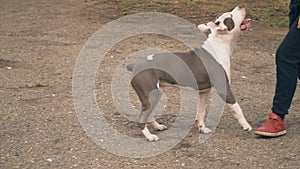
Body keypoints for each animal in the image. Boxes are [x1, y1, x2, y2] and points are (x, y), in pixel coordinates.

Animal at [125, 5, 252, 141]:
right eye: (231, 16)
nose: (240, 6)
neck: (220, 45)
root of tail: (135, 65)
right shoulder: (224, 89)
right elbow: (237, 108)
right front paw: (246, 126)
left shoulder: (204, 92)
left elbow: (201, 112)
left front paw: (202, 128)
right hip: (151, 95)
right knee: (141, 117)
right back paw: (149, 136)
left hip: (157, 93)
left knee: (149, 115)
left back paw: (158, 127)